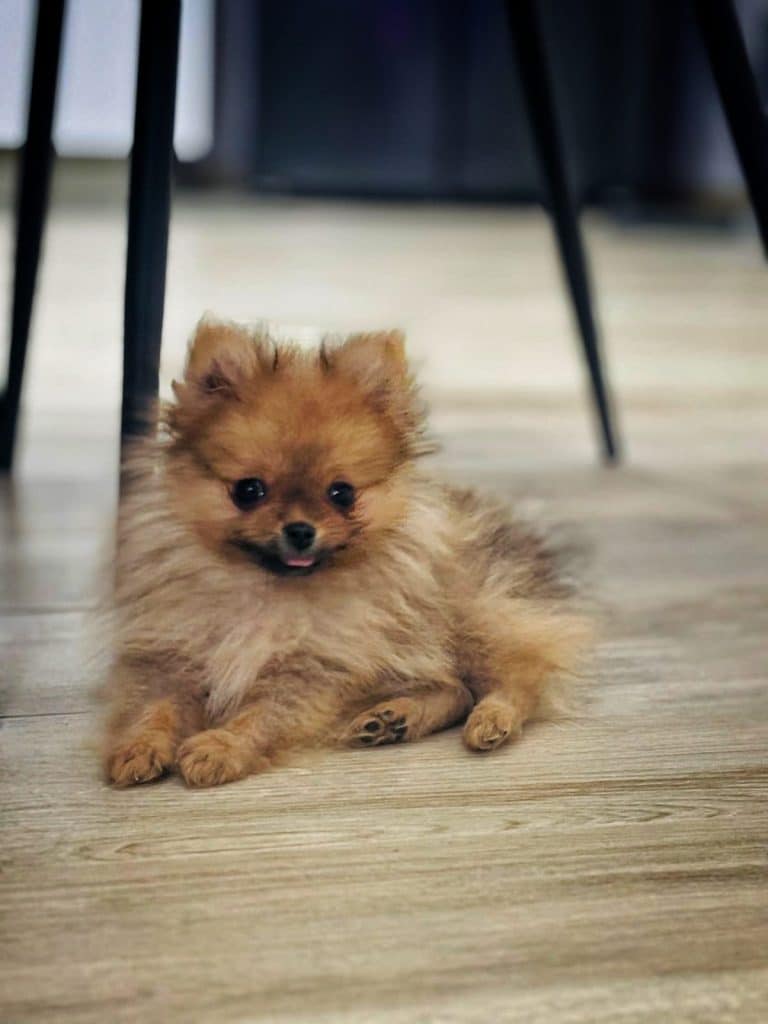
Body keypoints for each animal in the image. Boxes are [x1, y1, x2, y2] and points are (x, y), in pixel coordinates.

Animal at [104, 318, 590, 787]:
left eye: (342, 493)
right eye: (248, 490)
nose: (301, 530)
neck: (267, 593)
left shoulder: (315, 669)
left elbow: (264, 715)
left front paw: (221, 747)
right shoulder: (172, 657)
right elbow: (155, 706)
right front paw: (139, 746)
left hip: (471, 616)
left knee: (517, 675)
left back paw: (492, 719)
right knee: (455, 688)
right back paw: (394, 718)